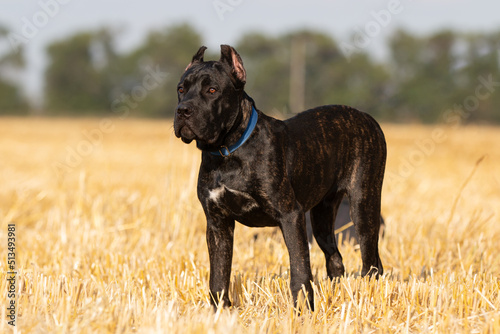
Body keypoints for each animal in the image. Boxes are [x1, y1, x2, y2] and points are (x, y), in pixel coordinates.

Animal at [173, 45, 386, 310]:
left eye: (212, 90)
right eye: (181, 89)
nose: (183, 110)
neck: (227, 152)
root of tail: (368, 118)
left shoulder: (290, 215)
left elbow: (300, 268)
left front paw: (303, 310)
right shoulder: (217, 223)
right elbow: (219, 273)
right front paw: (219, 310)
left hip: (363, 206)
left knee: (372, 263)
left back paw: (370, 297)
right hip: (322, 217)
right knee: (335, 257)